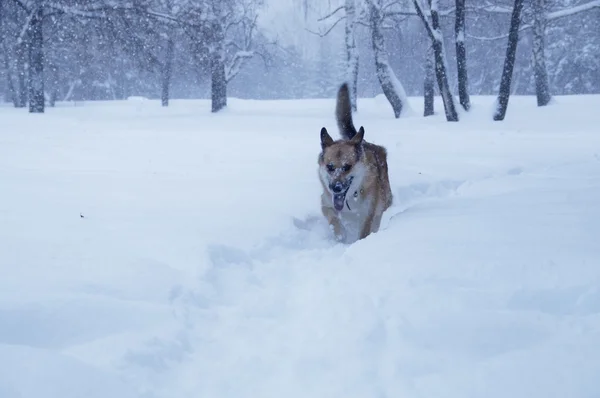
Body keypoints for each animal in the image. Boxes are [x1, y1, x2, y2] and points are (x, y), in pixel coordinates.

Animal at [318, 82, 394, 243]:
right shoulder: (326, 203)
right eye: (330, 167)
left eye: (347, 167)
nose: (336, 188)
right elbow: (333, 218)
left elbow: (364, 232)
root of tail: (363, 141)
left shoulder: (367, 213)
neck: (350, 197)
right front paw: (340, 234)